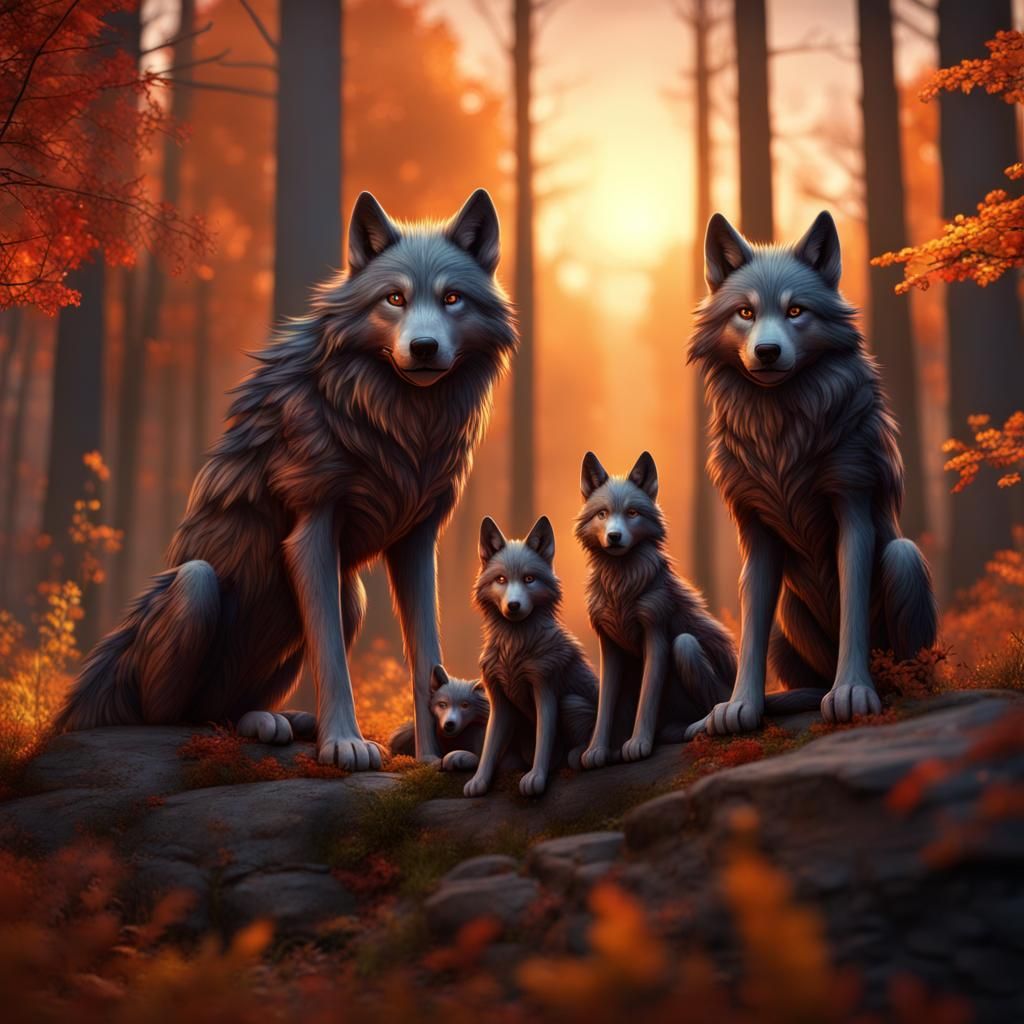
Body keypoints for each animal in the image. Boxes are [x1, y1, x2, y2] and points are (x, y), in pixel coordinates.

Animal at [54, 189, 517, 770]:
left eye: (452, 298)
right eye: (394, 298)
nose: (425, 347)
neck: (401, 422)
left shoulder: (416, 540)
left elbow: (425, 653)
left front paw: (431, 758)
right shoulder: (311, 529)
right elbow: (331, 656)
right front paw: (344, 743)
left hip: (350, 595)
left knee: (233, 708)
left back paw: (280, 720)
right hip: (198, 587)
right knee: (177, 714)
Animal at [464, 516, 598, 798]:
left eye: (528, 579)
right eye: (501, 579)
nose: (513, 606)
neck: (513, 651)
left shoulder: (545, 689)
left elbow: (544, 740)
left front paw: (536, 777)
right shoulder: (499, 701)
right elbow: (490, 745)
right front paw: (479, 781)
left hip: (570, 702)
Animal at [575, 451, 737, 767]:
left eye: (632, 513)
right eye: (602, 514)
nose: (614, 536)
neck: (621, 588)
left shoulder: (656, 634)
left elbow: (648, 696)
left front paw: (638, 744)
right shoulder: (609, 645)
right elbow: (605, 703)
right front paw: (596, 750)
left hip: (686, 647)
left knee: (713, 702)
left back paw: (697, 725)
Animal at [685, 210, 937, 738]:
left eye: (796, 311)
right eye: (745, 312)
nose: (766, 351)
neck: (780, 432)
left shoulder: (853, 504)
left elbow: (853, 606)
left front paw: (852, 693)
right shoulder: (755, 532)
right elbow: (749, 629)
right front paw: (739, 707)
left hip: (904, 561)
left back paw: (884, 687)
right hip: (787, 614)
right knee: (801, 678)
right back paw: (785, 699)